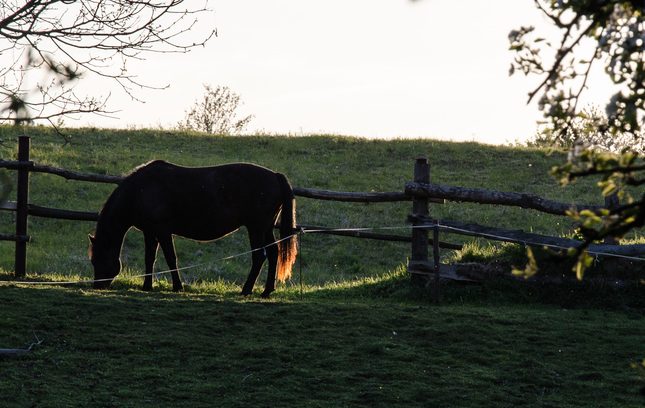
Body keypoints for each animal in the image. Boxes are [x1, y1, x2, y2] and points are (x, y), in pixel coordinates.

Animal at [88, 159, 296, 296]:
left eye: (100, 260)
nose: (97, 285)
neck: (140, 190)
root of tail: (275, 176)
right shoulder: (149, 231)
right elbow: (150, 259)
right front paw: (147, 286)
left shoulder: (162, 231)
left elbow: (171, 258)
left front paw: (177, 287)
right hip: (266, 228)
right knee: (273, 253)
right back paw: (267, 290)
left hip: (256, 228)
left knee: (259, 257)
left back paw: (246, 290)